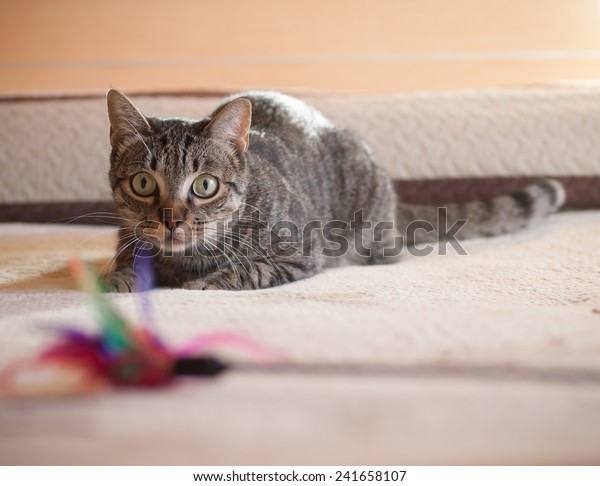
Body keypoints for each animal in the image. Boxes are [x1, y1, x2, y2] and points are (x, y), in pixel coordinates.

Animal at [102, 89, 564, 290]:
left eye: (204, 185)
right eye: (143, 183)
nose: (172, 220)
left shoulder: (301, 254)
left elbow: (246, 269)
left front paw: (203, 283)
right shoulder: (128, 237)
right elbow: (131, 258)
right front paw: (121, 278)